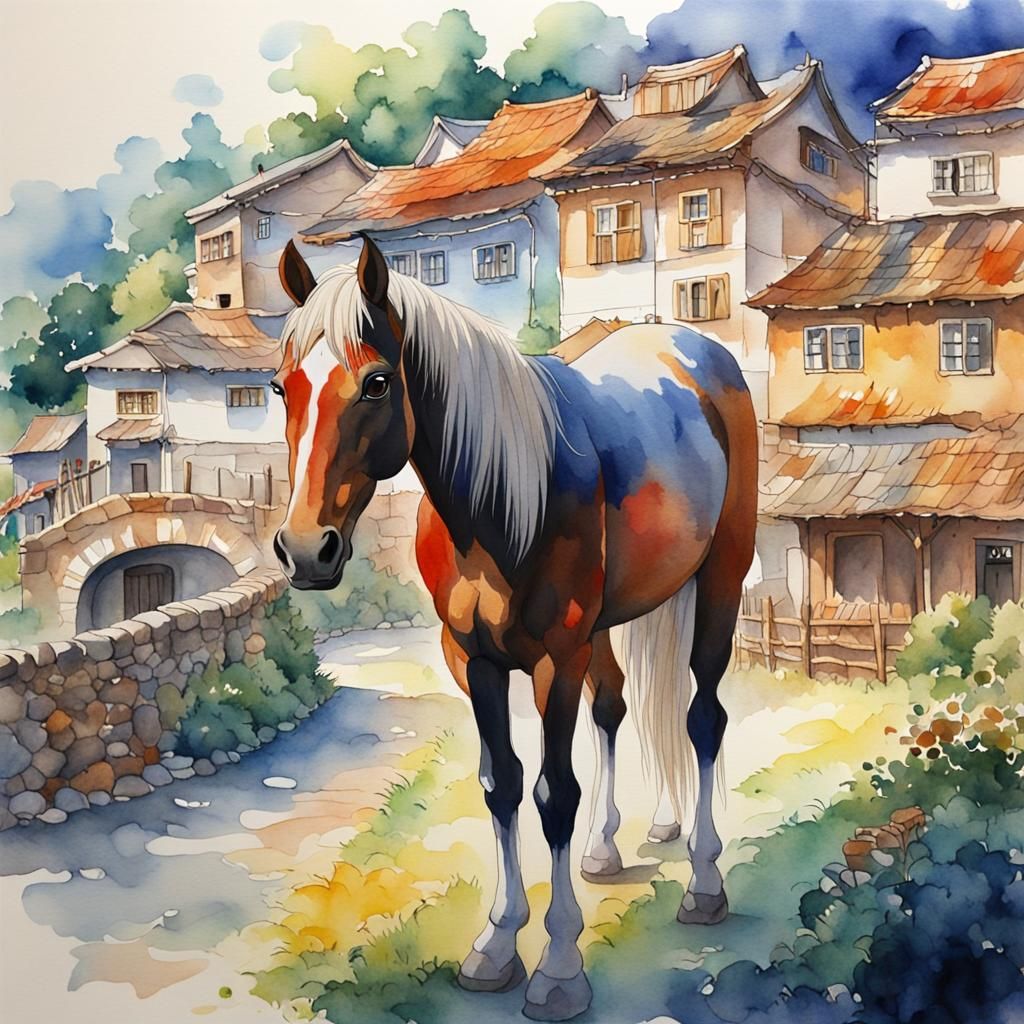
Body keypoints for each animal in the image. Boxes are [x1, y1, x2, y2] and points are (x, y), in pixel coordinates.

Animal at [271, 235, 757, 1022]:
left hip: (719, 582)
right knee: (617, 707)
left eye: (376, 382)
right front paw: (497, 944)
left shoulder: (555, 659)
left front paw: (559, 967)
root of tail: (694, 346)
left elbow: (555, 794)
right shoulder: (473, 660)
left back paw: (705, 882)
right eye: (282, 387)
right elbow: (501, 784)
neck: (497, 497)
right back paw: (615, 845)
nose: (306, 549)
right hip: (616, 620)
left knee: (702, 718)